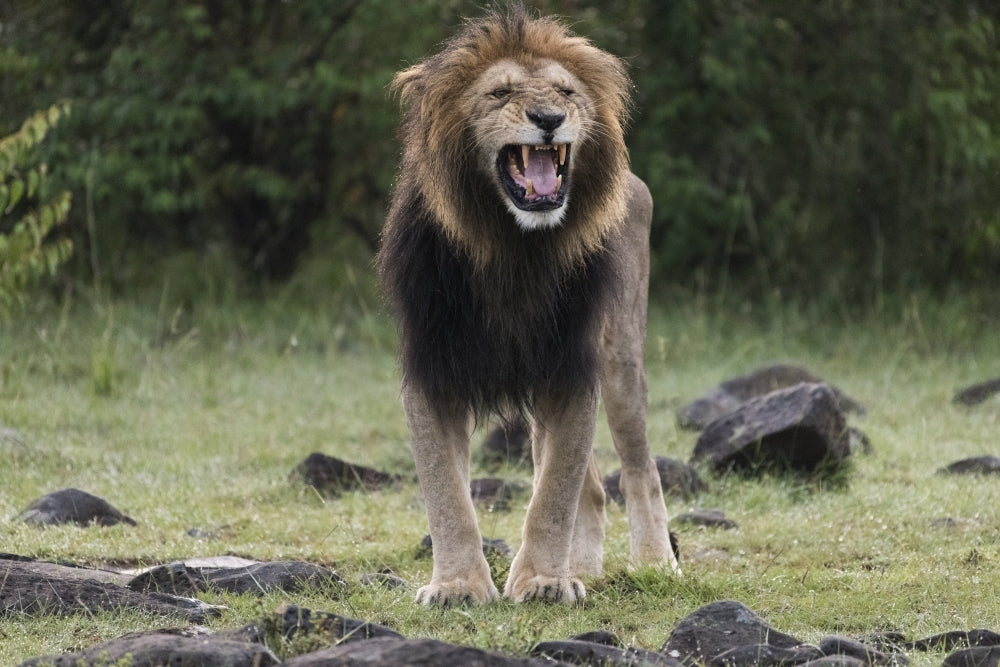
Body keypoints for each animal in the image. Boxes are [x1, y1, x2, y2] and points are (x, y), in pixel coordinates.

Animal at [377, 6, 680, 606]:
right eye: (499, 93)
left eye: (566, 91)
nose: (548, 117)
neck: (514, 250)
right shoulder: (431, 368)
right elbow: (446, 493)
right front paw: (457, 586)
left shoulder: (572, 366)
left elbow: (554, 493)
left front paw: (542, 581)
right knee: (593, 490)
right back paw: (583, 569)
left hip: (620, 360)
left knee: (639, 469)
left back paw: (655, 565)